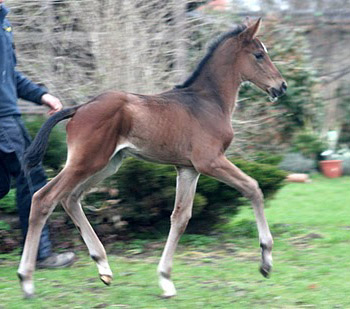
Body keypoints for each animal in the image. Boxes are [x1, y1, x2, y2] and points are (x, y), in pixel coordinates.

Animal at [17, 18, 288, 298]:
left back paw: (103, 266)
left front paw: (165, 279)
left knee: (70, 198)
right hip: (86, 162)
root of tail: (79, 108)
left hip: (107, 164)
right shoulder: (210, 161)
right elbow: (252, 188)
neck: (208, 102)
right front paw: (266, 261)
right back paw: (26, 279)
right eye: (259, 55)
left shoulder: (188, 169)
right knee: (44, 198)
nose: (281, 86)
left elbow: (180, 217)